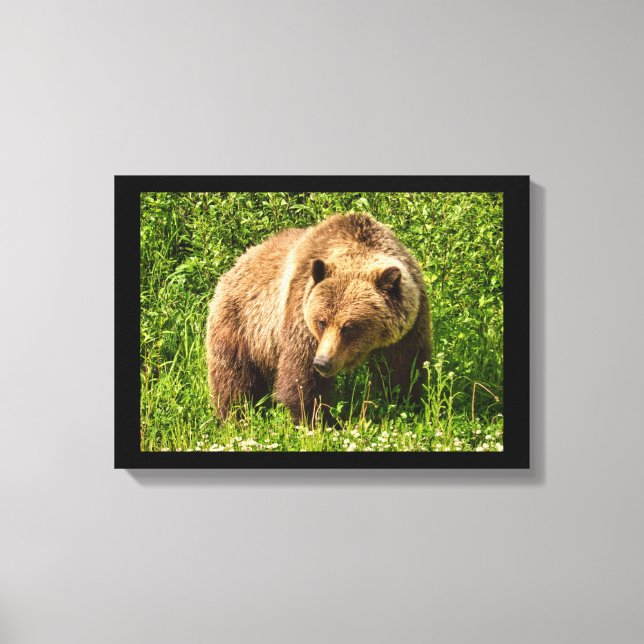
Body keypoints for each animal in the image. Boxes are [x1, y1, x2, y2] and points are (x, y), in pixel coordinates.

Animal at [206, 212, 431, 424]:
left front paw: (408, 402)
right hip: (241, 324)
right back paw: (235, 415)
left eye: (349, 327)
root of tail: (237, 262)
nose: (323, 363)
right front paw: (317, 420)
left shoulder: (410, 323)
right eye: (321, 322)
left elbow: (406, 365)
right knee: (233, 375)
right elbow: (301, 374)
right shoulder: (301, 312)